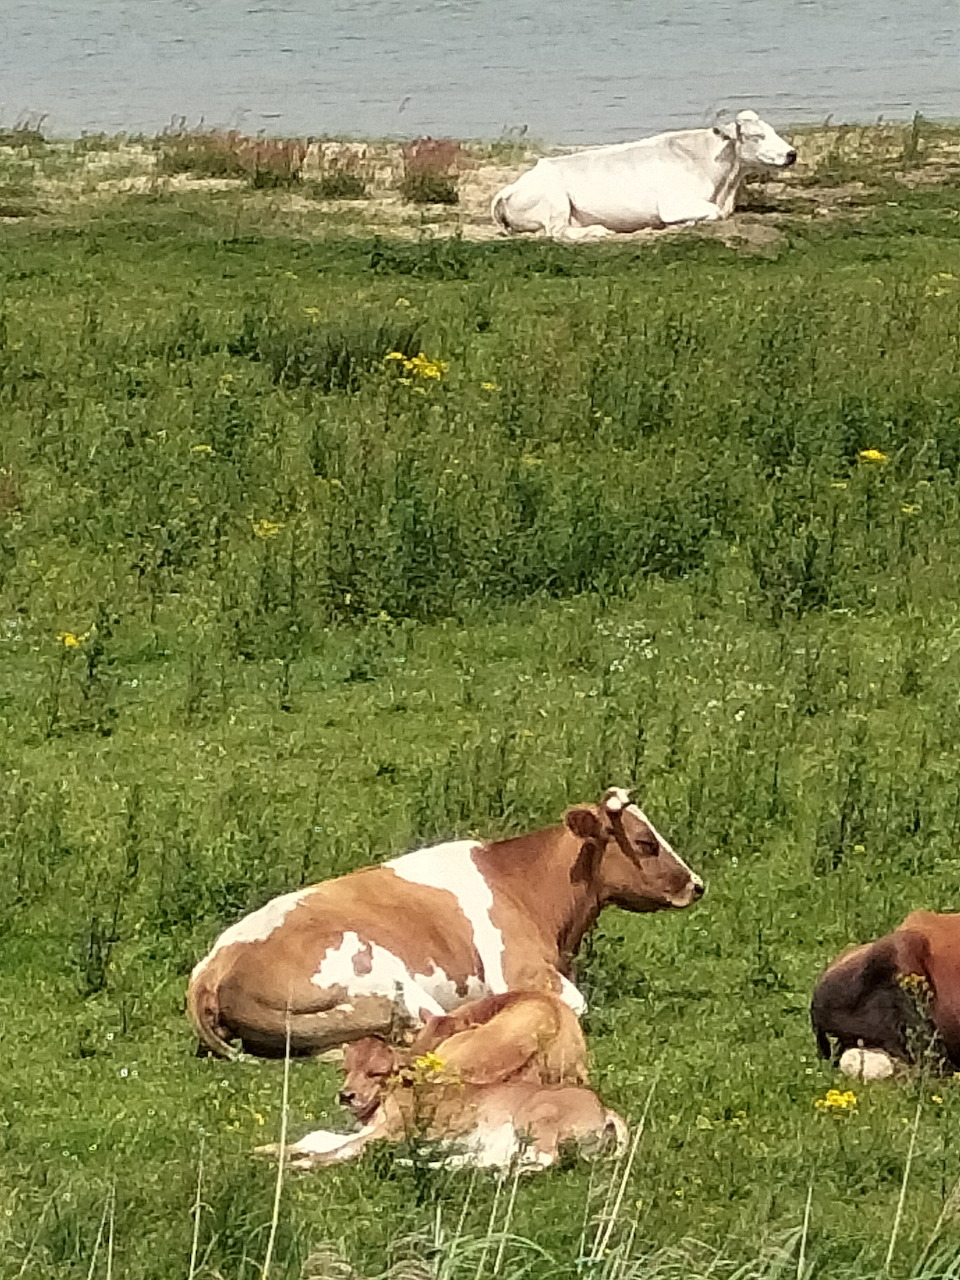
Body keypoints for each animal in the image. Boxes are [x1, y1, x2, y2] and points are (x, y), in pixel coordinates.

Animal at [188, 786, 703, 1059]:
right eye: (645, 843)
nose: (697, 885)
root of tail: (215, 965)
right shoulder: (520, 969)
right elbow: (576, 1003)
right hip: (384, 972)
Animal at [256, 991, 627, 1172]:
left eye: (378, 1072)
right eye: (345, 1069)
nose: (346, 1095)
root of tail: (603, 1107)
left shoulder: (390, 1130)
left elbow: (340, 1148)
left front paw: (302, 1163)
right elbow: (318, 1137)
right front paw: (268, 1150)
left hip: (537, 1122)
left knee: (543, 1159)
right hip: (499, 1140)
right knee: (483, 1160)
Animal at [491, 110, 797, 240]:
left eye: (773, 130)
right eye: (757, 136)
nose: (791, 153)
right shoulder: (673, 204)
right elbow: (714, 213)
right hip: (555, 201)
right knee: (558, 232)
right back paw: (599, 230)